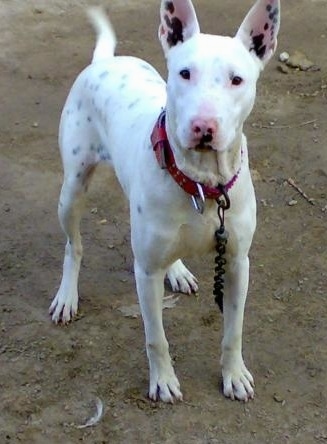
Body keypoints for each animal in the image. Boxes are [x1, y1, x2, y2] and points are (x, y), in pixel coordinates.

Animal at [50, 0, 280, 402]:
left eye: (237, 80)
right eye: (185, 73)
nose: (204, 126)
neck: (202, 182)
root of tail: (106, 61)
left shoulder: (237, 263)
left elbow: (233, 331)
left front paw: (234, 374)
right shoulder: (146, 272)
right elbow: (156, 337)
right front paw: (163, 380)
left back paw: (178, 271)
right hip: (72, 189)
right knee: (73, 246)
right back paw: (67, 295)